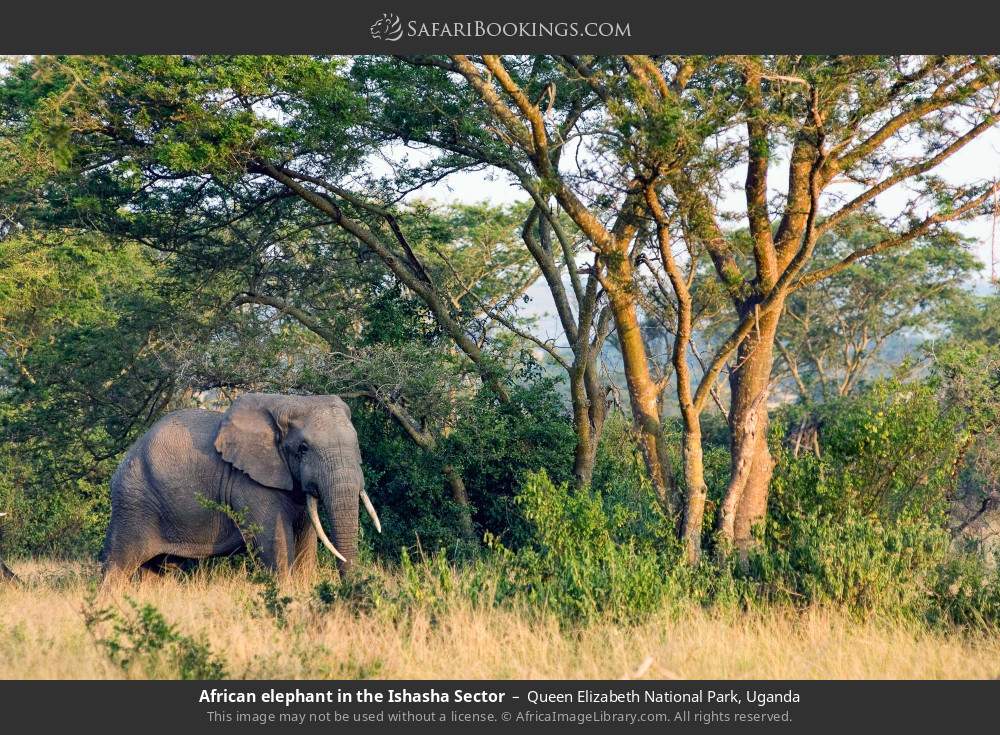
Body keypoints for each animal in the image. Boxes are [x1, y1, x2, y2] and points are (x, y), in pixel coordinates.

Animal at [100, 393, 380, 585]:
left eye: (356, 445)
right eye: (303, 448)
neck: (288, 402)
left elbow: (306, 542)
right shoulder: (248, 483)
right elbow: (275, 543)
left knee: (159, 570)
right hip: (134, 502)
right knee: (118, 564)